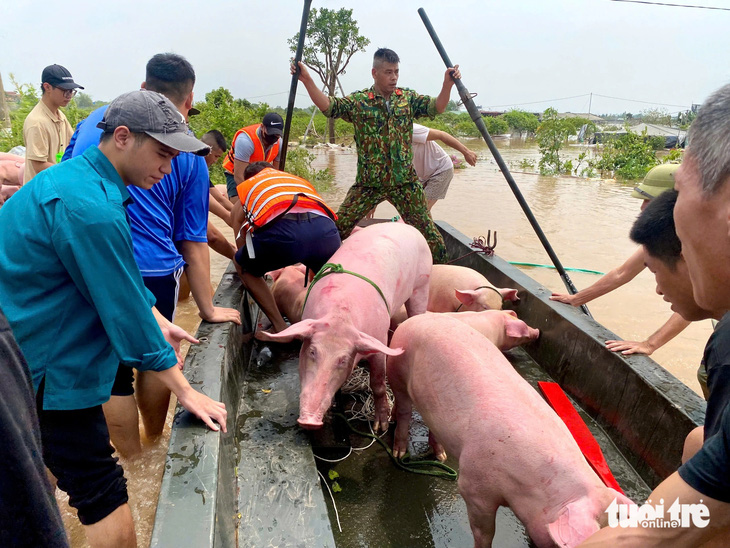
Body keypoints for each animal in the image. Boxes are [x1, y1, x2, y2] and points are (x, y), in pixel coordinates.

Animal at [256, 223, 430, 432]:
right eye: (312, 351)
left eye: (343, 359)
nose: (309, 421)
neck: (340, 316)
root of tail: (403, 225)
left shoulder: (378, 339)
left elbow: (378, 383)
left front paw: (381, 427)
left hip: (423, 283)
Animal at [386, 312, 632, 548]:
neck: (527, 485)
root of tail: (414, 320)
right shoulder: (473, 485)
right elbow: (484, 531)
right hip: (397, 368)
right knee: (404, 409)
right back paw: (399, 452)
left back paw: (441, 456)